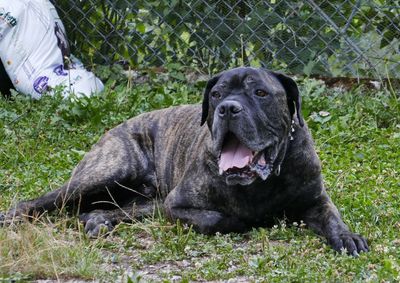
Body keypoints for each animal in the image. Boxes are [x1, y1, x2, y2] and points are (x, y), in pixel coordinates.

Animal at [0, 67, 368, 256]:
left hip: (146, 202)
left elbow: (333, 218)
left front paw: (348, 237)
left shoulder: (315, 200)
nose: (228, 108)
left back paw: (97, 220)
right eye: (216, 94)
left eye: (260, 93)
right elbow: (220, 219)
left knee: (110, 210)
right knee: (38, 202)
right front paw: (246, 219)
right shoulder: (177, 205)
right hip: (107, 172)